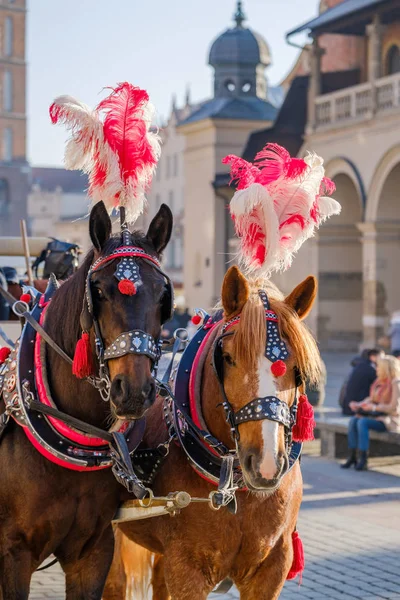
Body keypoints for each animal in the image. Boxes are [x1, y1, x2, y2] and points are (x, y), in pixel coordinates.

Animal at [104, 266, 322, 600]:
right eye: (228, 358)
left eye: (296, 365)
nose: (266, 464)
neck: (237, 491)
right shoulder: (188, 569)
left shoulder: (271, 570)